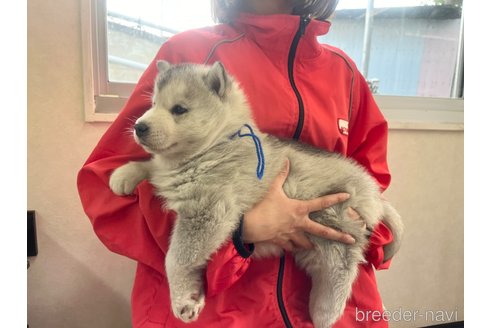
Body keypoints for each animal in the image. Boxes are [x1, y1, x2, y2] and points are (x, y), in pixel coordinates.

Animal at [109, 61, 402, 328]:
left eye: (179, 109)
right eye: (153, 103)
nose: (139, 126)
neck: (214, 145)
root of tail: (372, 190)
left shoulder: (209, 209)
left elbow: (176, 258)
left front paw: (182, 299)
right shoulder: (172, 176)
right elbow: (153, 167)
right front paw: (124, 174)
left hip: (330, 218)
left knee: (343, 263)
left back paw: (325, 311)